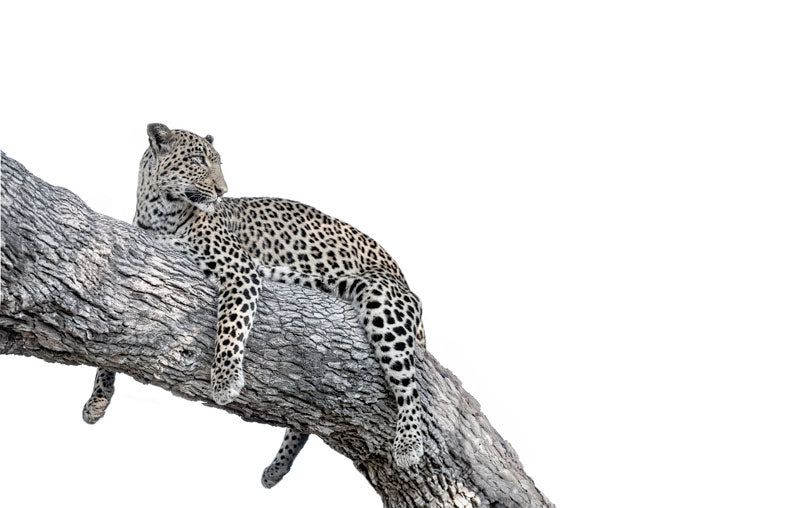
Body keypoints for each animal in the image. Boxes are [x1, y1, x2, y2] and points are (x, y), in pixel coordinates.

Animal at [82, 123, 426, 480]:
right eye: (198, 160)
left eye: (218, 162)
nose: (222, 190)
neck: (158, 212)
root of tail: (400, 273)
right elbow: (111, 350)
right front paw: (97, 400)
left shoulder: (241, 269)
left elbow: (232, 326)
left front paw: (226, 381)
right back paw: (277, 468)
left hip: (385, 303)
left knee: (410, 387)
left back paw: (409, 445)